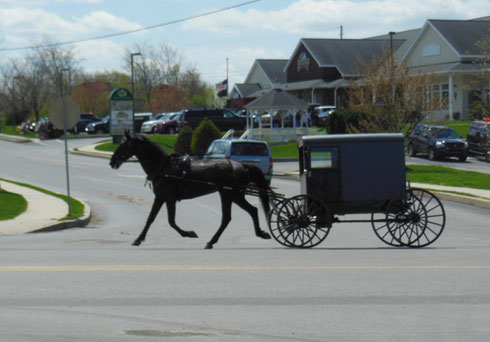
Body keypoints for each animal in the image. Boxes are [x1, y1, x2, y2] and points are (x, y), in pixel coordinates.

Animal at [109, 131, 272, 248]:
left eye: (122, 146)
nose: (112, 162)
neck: (163, 167)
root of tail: (242, 165)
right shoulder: (165, 198)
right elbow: (160, 219)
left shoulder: (165, 198)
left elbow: (164, 220)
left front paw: (187, 233)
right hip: (232, 195)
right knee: (247, 212)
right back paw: (257, 233)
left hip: (231, 195)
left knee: (235, 215)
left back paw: (212, 241)